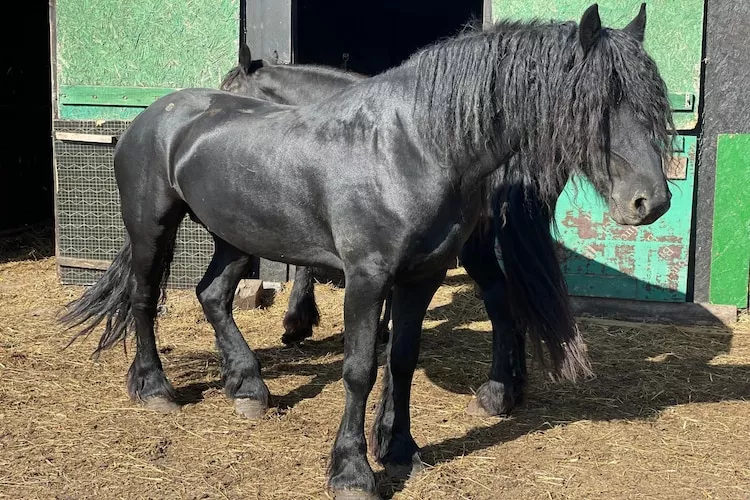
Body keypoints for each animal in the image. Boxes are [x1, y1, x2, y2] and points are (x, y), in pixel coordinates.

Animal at [220, 42, 572, 418]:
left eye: (228, 89)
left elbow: (307, 263)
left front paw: (298, 321)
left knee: (499, 296)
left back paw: (497, 392)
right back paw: (512, 386)